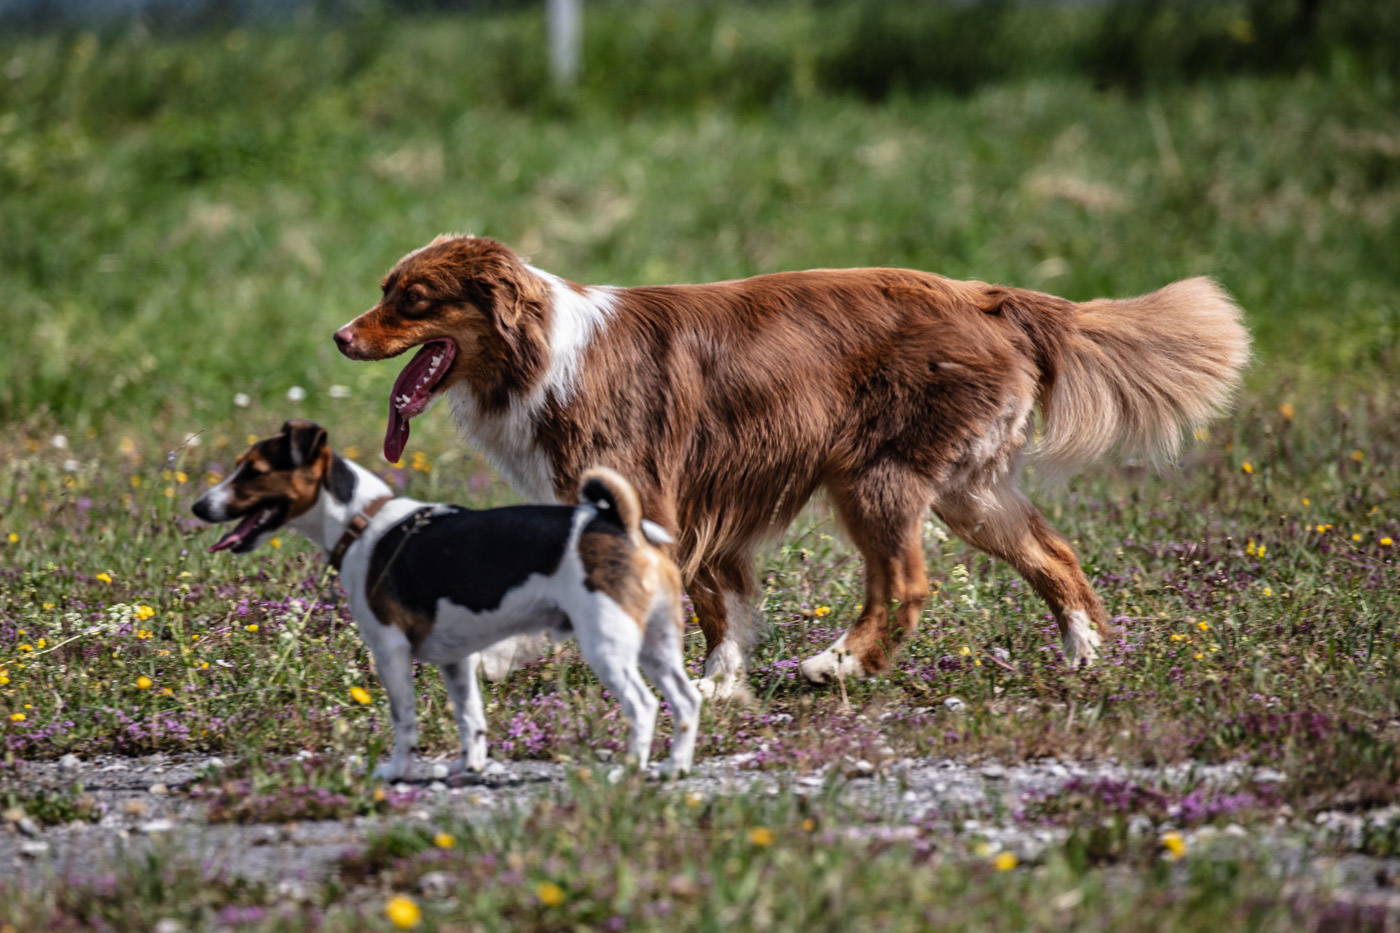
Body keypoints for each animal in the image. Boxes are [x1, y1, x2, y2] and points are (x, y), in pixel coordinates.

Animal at [191, 420, 705, 778]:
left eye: (253, 472)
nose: (198, 506)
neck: (363, 520)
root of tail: (622, 525)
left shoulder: (391, 651)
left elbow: (403, 721)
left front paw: (397, 773)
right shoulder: (458, 661)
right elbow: (470, 718)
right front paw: (468, 767)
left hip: (607, 645)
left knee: (643, 706)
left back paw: (630, 770)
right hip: (657, 645)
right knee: (685, 701)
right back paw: (674, 768)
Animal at [333, 236, 1254, 694]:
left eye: (410, 300)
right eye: (383, 289)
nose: (339, 336)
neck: (539, 354)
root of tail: (989, 296)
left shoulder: (648, 499)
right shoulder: (689, 509)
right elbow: (722, 605)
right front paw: (718, 682)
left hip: (875, 476)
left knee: (905, 584)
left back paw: (837, 663)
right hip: (967, 487)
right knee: (1054, 553)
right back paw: (1086, 655)